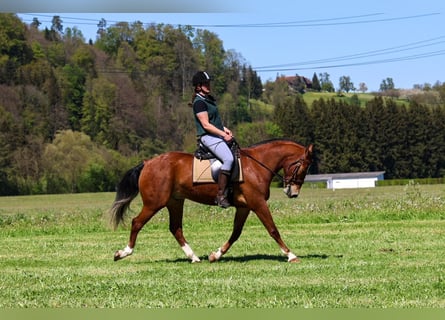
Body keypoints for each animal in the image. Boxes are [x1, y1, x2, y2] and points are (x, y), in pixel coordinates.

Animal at [110, 139, 312, 264]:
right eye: (303, 167)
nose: (293, 193)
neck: (256, 165)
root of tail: (147, 162)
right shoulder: (258, 203)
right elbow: (273, 229)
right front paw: (291, 255)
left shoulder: (245, 207)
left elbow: (236, 233)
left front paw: (216, 255)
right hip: (154, 203)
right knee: (137, 222)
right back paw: (123, 252)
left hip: (175, 202)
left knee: (175, 228)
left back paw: (193, 257)